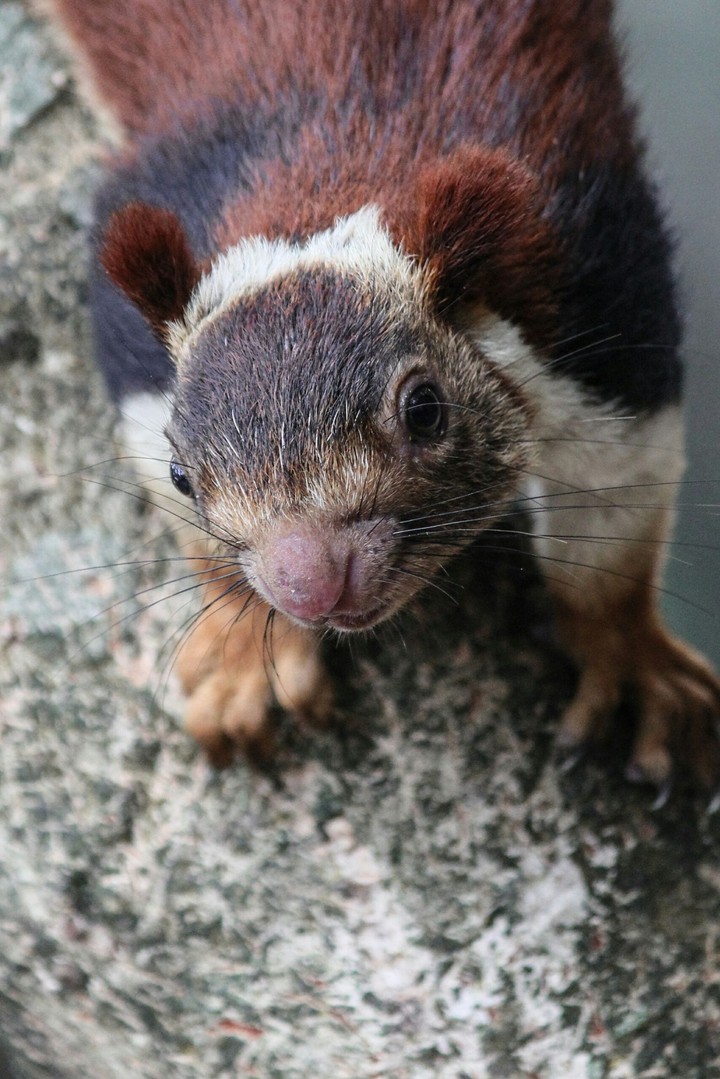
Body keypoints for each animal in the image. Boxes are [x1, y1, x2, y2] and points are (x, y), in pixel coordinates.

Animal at [42, 0, 720, 789]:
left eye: (425, 410)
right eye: (181, 473)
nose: (308, 586)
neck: (328, 170)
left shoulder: (601, 265)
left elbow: (618, 494)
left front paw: (629, 655)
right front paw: (243, 651)